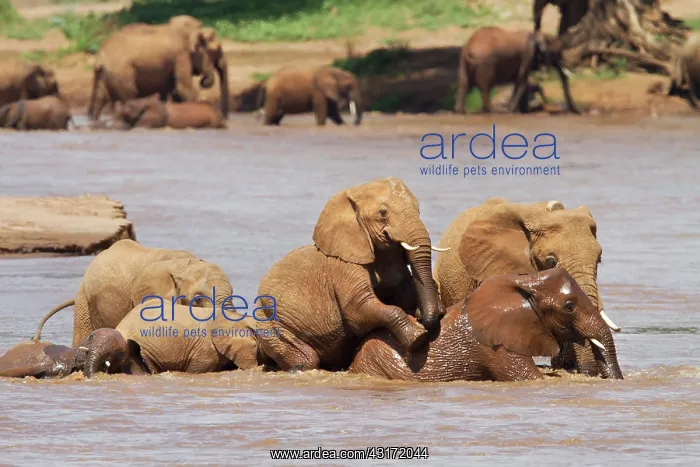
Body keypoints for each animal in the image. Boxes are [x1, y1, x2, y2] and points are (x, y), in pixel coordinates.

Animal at [88, 15, 229, 122]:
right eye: (216, 51)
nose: (203, 80)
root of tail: (99, 57)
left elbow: (174, 93)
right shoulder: (181, 56)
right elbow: (183, 89)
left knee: (101, 99)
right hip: (122, 73)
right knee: (128, 96)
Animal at [255, 177, 446, 372]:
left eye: (418, 209)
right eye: (383, 212)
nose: (428, 320)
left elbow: (404, 294)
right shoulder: (345, 266)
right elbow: (359, 309)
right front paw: (418, 338)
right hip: (270, 321)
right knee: (307, 359)